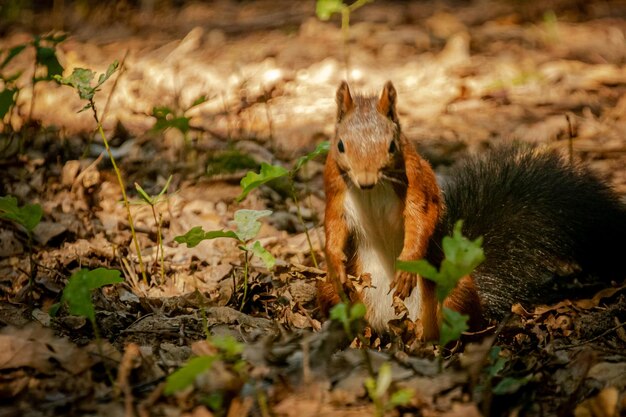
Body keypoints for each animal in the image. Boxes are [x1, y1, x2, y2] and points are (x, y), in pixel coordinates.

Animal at [316, 79, 624, 340]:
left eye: (391, 145)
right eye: (340, 145)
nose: (365, 181)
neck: (374, 189)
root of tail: (392, 325)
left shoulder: (417, 181)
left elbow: (420, 219)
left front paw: (407, 266)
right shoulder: (334, 187)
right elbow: (333, 225)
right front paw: (335, 261)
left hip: (456, 290)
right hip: (332, 291)